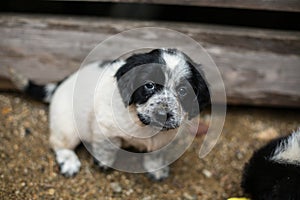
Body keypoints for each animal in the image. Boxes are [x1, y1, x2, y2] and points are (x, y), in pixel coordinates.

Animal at [9, 48, 211, 180]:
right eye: (149, 85)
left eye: (183, 91)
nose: (162, 114)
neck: (141, 123)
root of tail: (63, 82)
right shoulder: (104, 127)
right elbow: (107, 148)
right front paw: (104, 162)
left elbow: (156, 154)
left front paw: (156, 168)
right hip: (67, 126)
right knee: (58, 143)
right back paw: (69, 160)